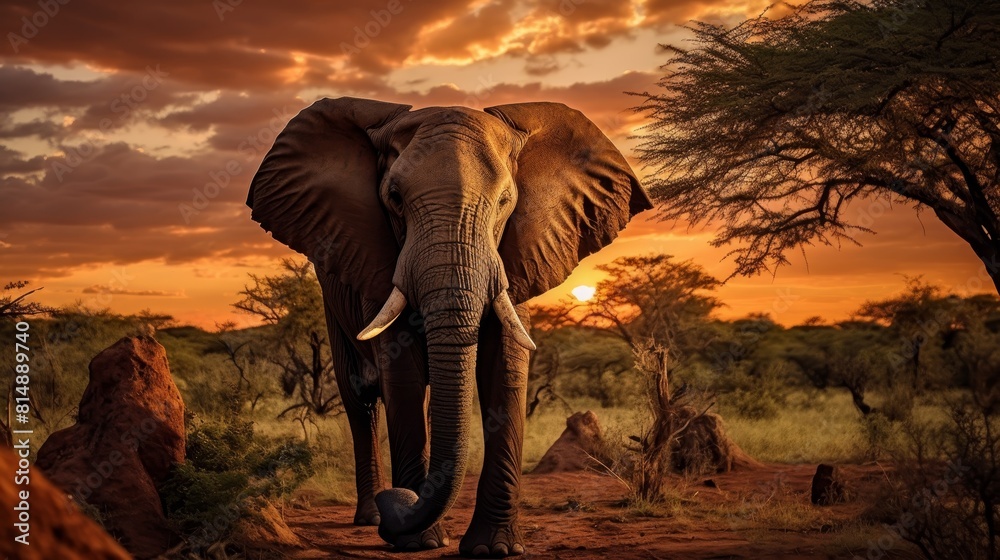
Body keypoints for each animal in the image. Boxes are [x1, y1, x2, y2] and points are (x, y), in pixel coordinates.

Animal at [246, 97, 651, 556]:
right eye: (394, 198)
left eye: (506, 201)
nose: (397, 503)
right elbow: (401, 375)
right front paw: (415, 542)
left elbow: (505, 371)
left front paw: (495, 549)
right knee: (360, 397)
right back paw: (370, 517)